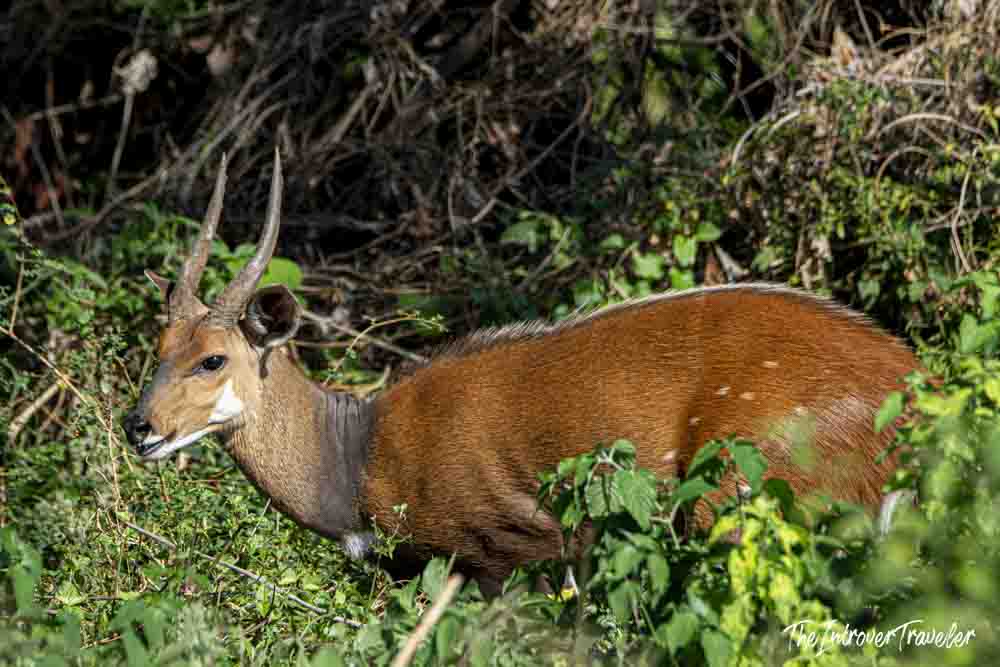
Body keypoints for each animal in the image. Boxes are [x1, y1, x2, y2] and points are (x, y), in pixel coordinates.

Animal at [122, 151, 920, 595]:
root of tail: (919, 402)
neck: (358, 455)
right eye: (158, 345)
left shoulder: (511, 550)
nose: (139, 428)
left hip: (737, 494)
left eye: (213, 358)